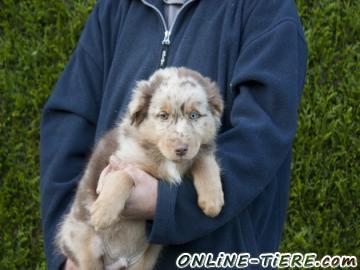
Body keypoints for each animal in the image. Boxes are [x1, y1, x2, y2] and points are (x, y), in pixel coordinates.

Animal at [55, 67, 225, 270]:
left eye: (194, 115)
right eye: (163, 116)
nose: (181, 149)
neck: (164, 157)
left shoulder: (196, 153)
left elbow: (205, 160)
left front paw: (213, 200)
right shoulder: (118, 162)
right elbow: (124, 176)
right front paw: (104, 212)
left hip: (144, 260)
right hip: (83, 245)